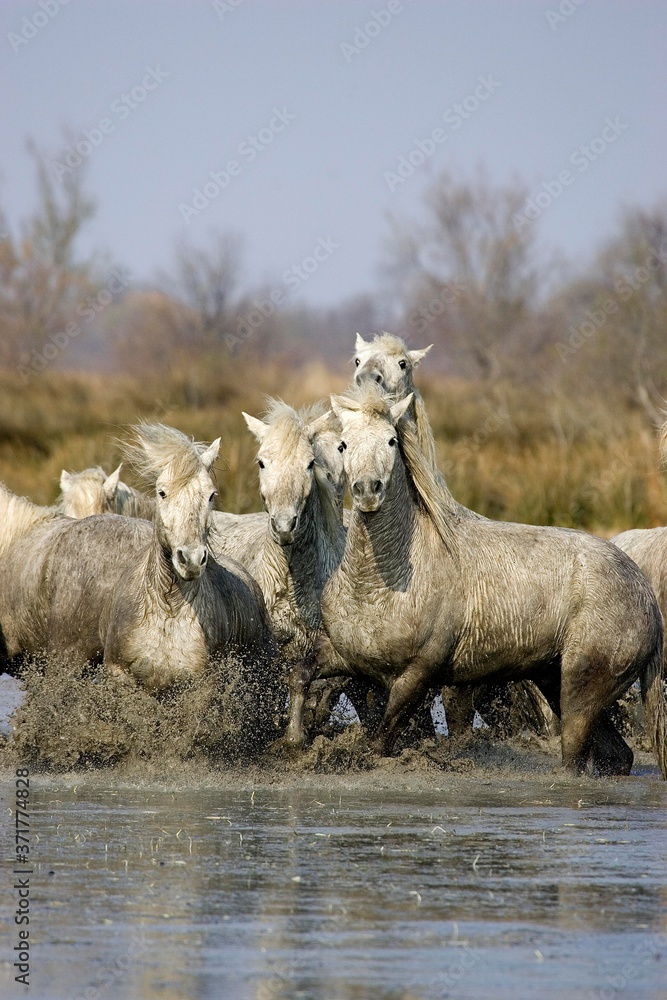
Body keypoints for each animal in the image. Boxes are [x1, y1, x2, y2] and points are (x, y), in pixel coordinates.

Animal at [208, 401, 346, 744]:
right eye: (261, 463)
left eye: (310, 463)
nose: (284, 526)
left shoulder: (315, 644)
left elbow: (301, 681)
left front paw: (295, 736)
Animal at [316, 383, 666, 778]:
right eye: (344, 444)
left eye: (391, 440)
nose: (367, 490)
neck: (382, 584)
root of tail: (645, 593)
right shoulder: (350, 661)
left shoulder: (416, 675)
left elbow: (381, 741)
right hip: (554, 680)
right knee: (619, 755)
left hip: (582, 689)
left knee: (575, 759)